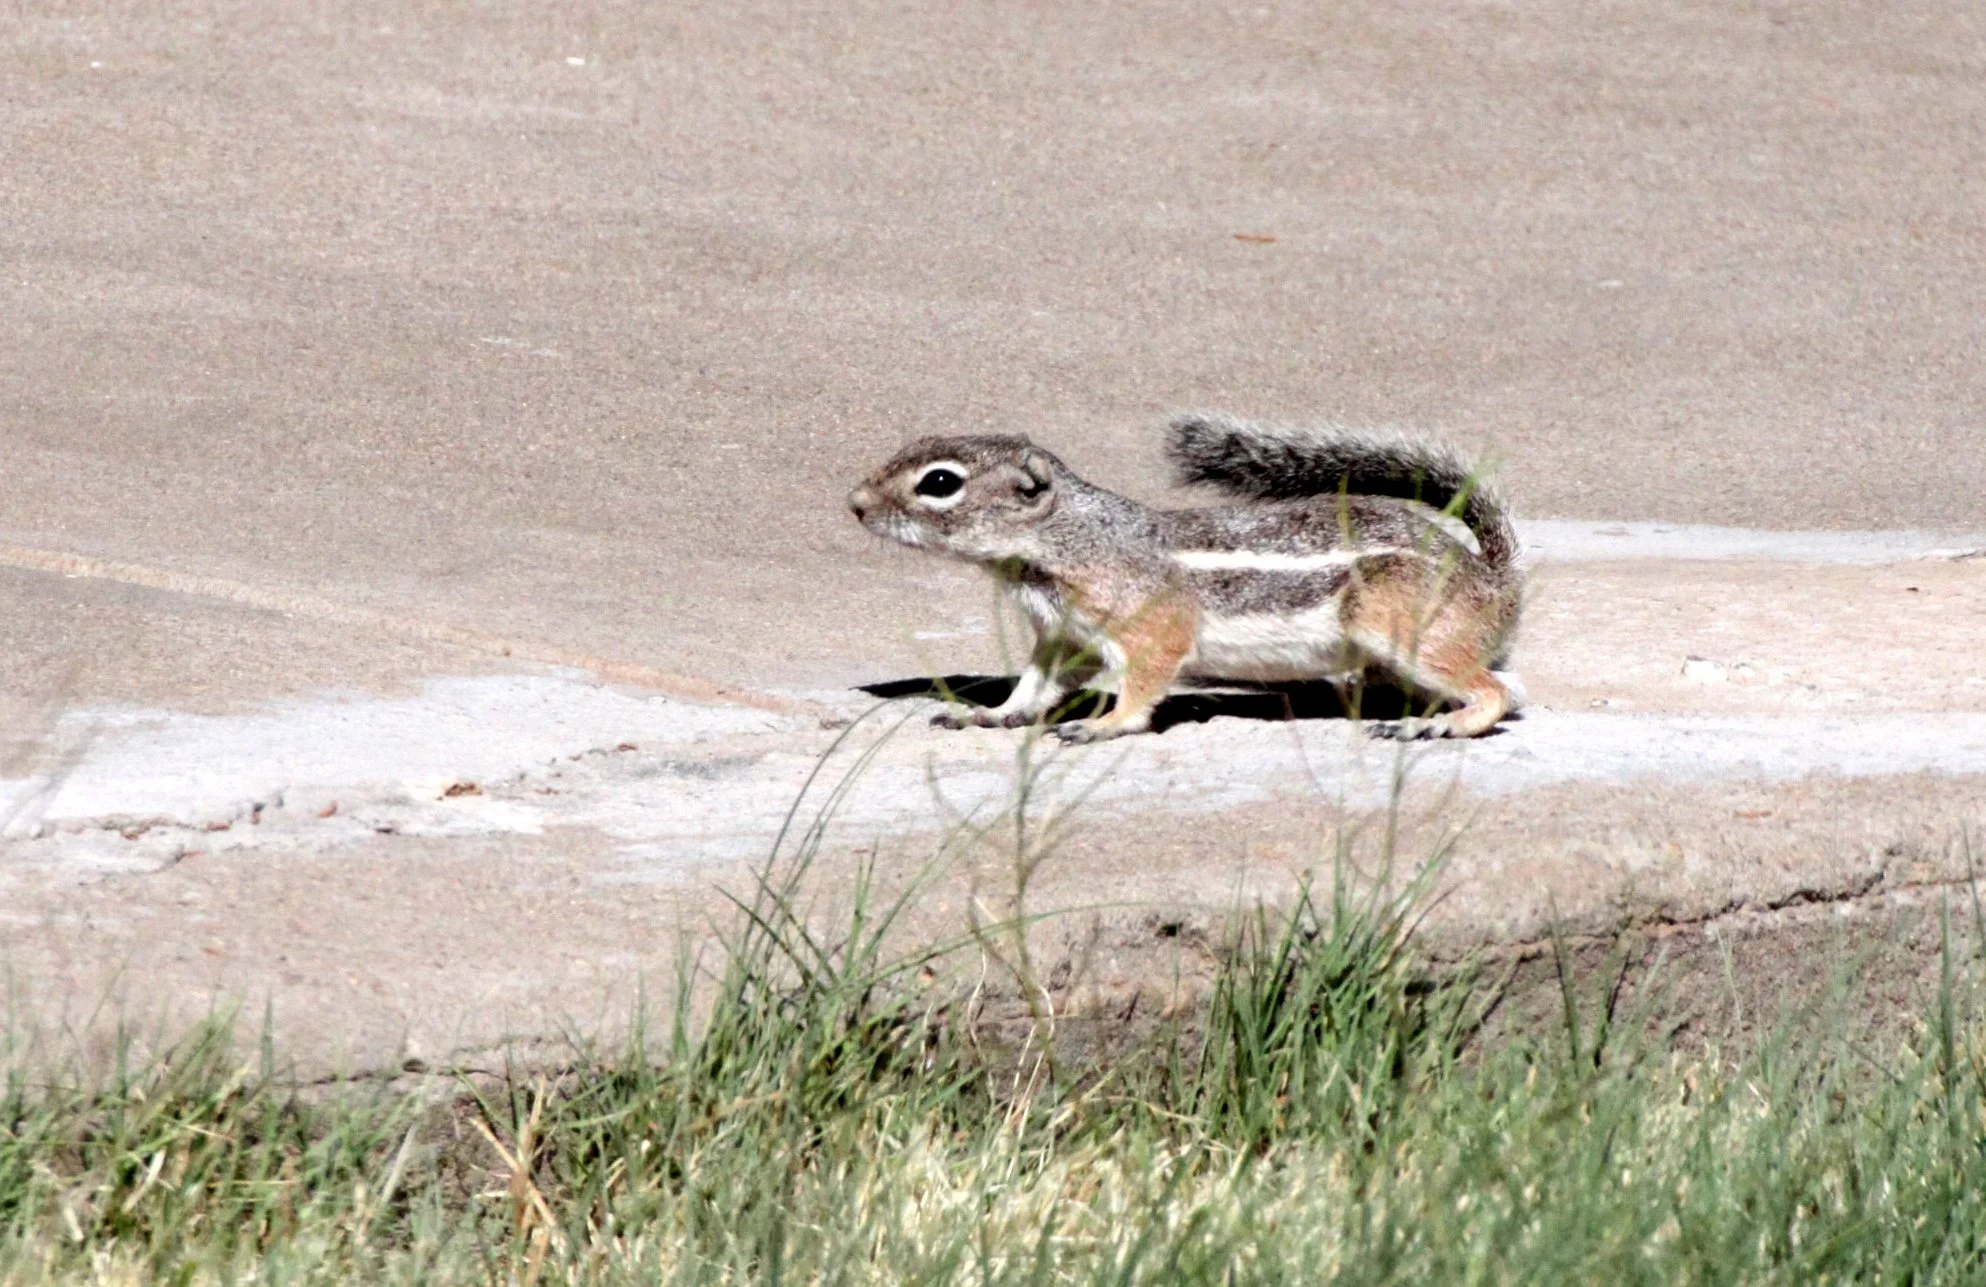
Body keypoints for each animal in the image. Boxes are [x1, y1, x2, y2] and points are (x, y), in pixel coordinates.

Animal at [846, 412, 1524, 743]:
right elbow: (1035, 688)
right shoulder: (1065, 636)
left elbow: (1143, 685)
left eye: (940, 482)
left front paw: (1103, 725)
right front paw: (986, 715)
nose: (854, 503)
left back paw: (1439, 724)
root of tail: (1495, 577)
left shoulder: (1148, 628)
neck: (1064, 542)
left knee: (1494, 693)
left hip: (1405, 628)